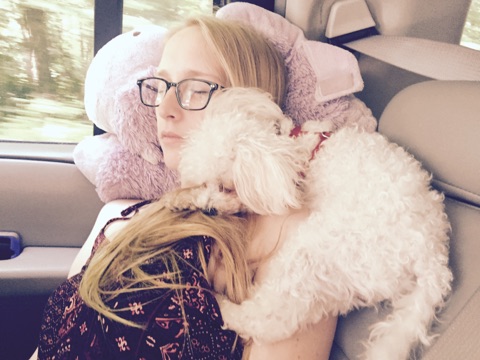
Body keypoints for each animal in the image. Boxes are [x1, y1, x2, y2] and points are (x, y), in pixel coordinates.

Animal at [162, 88, 454, 360]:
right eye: (202, 183)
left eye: (226, 187)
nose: (209, 210)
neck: (293, 150)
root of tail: (433, 257)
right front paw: (180, 199)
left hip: (321, 251)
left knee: (271, 318)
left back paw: (222, 305)